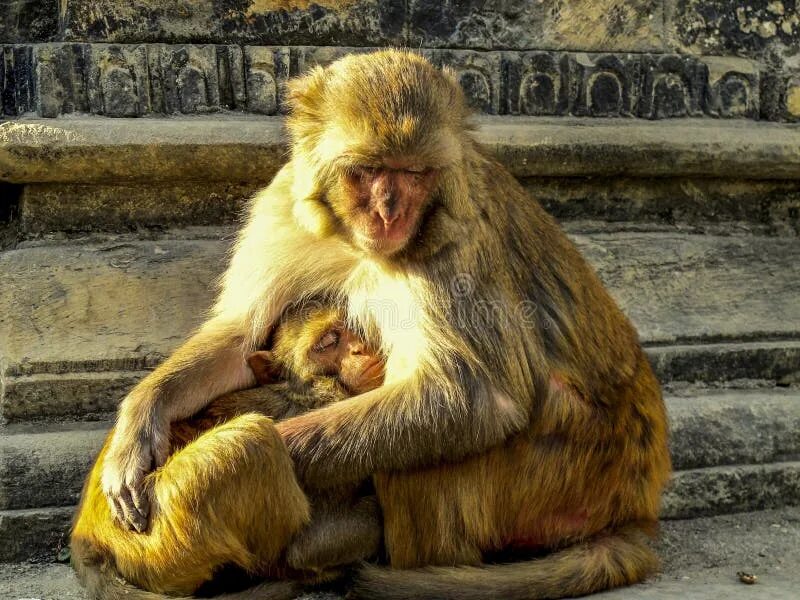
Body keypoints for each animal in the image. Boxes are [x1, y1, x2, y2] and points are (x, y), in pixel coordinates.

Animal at [71, 303, 385, 599]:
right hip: (161, 532)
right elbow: (310, 547)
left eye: (351, 329)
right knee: (251, 440)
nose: (360, 349)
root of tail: (86, 536)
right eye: (327, 342)